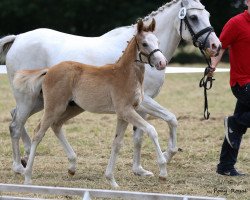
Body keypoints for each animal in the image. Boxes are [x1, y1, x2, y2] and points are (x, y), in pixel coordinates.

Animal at [12, 19, 167, 188]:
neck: (125, 75)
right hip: (53, 107)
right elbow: (151, 130)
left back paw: (72, 166)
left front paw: (111, 180)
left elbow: (117, 143)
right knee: (38, 133)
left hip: (72, 108)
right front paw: (163, 171)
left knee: (56, 125)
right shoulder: (126, 111)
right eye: (145, 43)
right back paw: (27, 176)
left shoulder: (124, 114)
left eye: (158, 41)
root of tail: (49, 70)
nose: (162, 62)